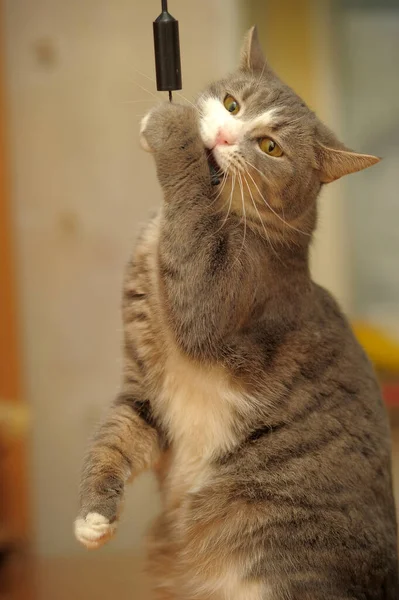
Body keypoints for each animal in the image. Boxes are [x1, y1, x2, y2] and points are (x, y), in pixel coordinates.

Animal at [74, 27, 396, 600]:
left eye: (269, 147)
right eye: (231, 104)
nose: (224, 136)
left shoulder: (223, 294)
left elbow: (194, 264)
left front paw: (170, 129)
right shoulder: (145, 386)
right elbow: (118, 434)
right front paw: (94, 518)